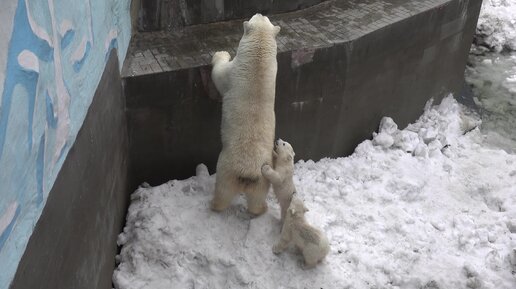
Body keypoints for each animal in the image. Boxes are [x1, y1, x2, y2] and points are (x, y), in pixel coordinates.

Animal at [211, 14, 282, 215]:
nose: (261, 13)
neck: (258, 61)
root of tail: (248, 173)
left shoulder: (233, 71)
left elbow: (219, 75)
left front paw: (220, 53)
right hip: (263, 178)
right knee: (257, 198)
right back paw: (261, 209)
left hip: (226, 169)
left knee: (223, 191)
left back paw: (214, 205)